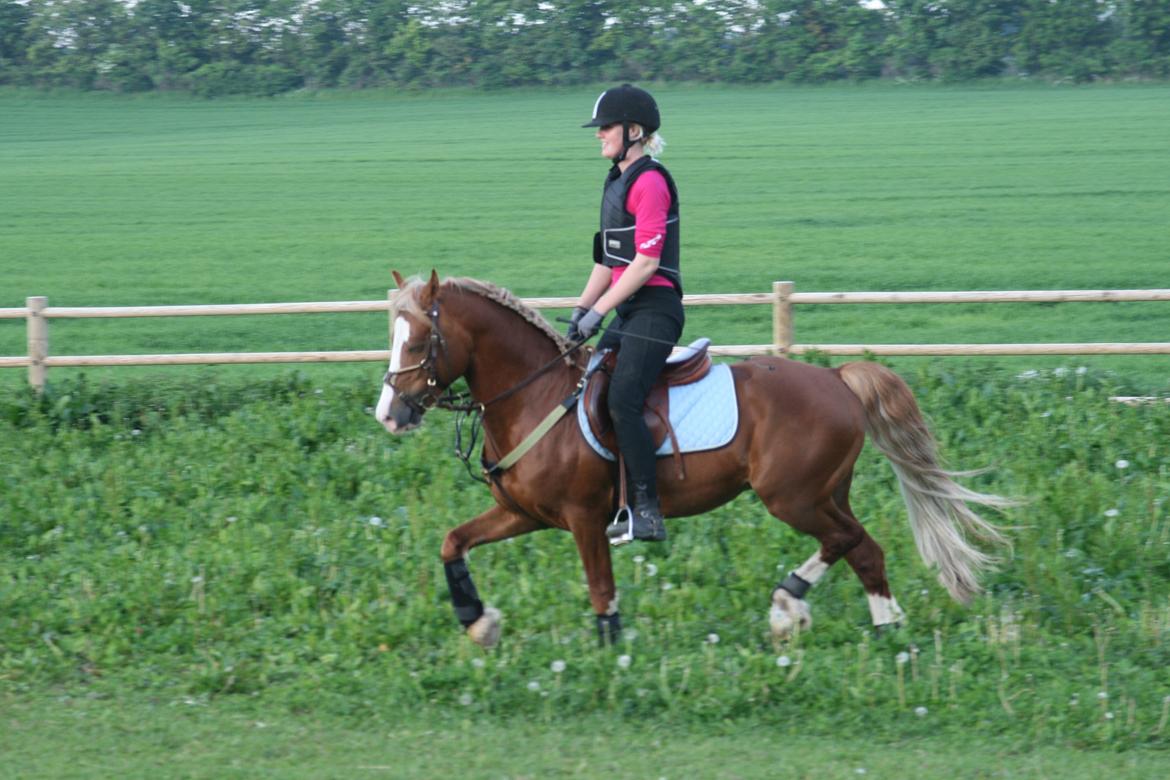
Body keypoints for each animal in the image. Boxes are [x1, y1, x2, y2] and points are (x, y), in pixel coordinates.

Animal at [369, 271, 1010, 650]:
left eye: (420, 341)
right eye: (391, 337)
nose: (389, 414)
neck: (535, 395)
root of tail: (836, 378)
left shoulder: (583, 518)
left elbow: (601, 590)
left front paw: (610, 655)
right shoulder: (524, 513)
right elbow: (453, 542)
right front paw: (478, 620)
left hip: (794, 496)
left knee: (849, 540)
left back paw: (809, 610)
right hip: (823, 492)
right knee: (860, 546)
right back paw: (867, 623)